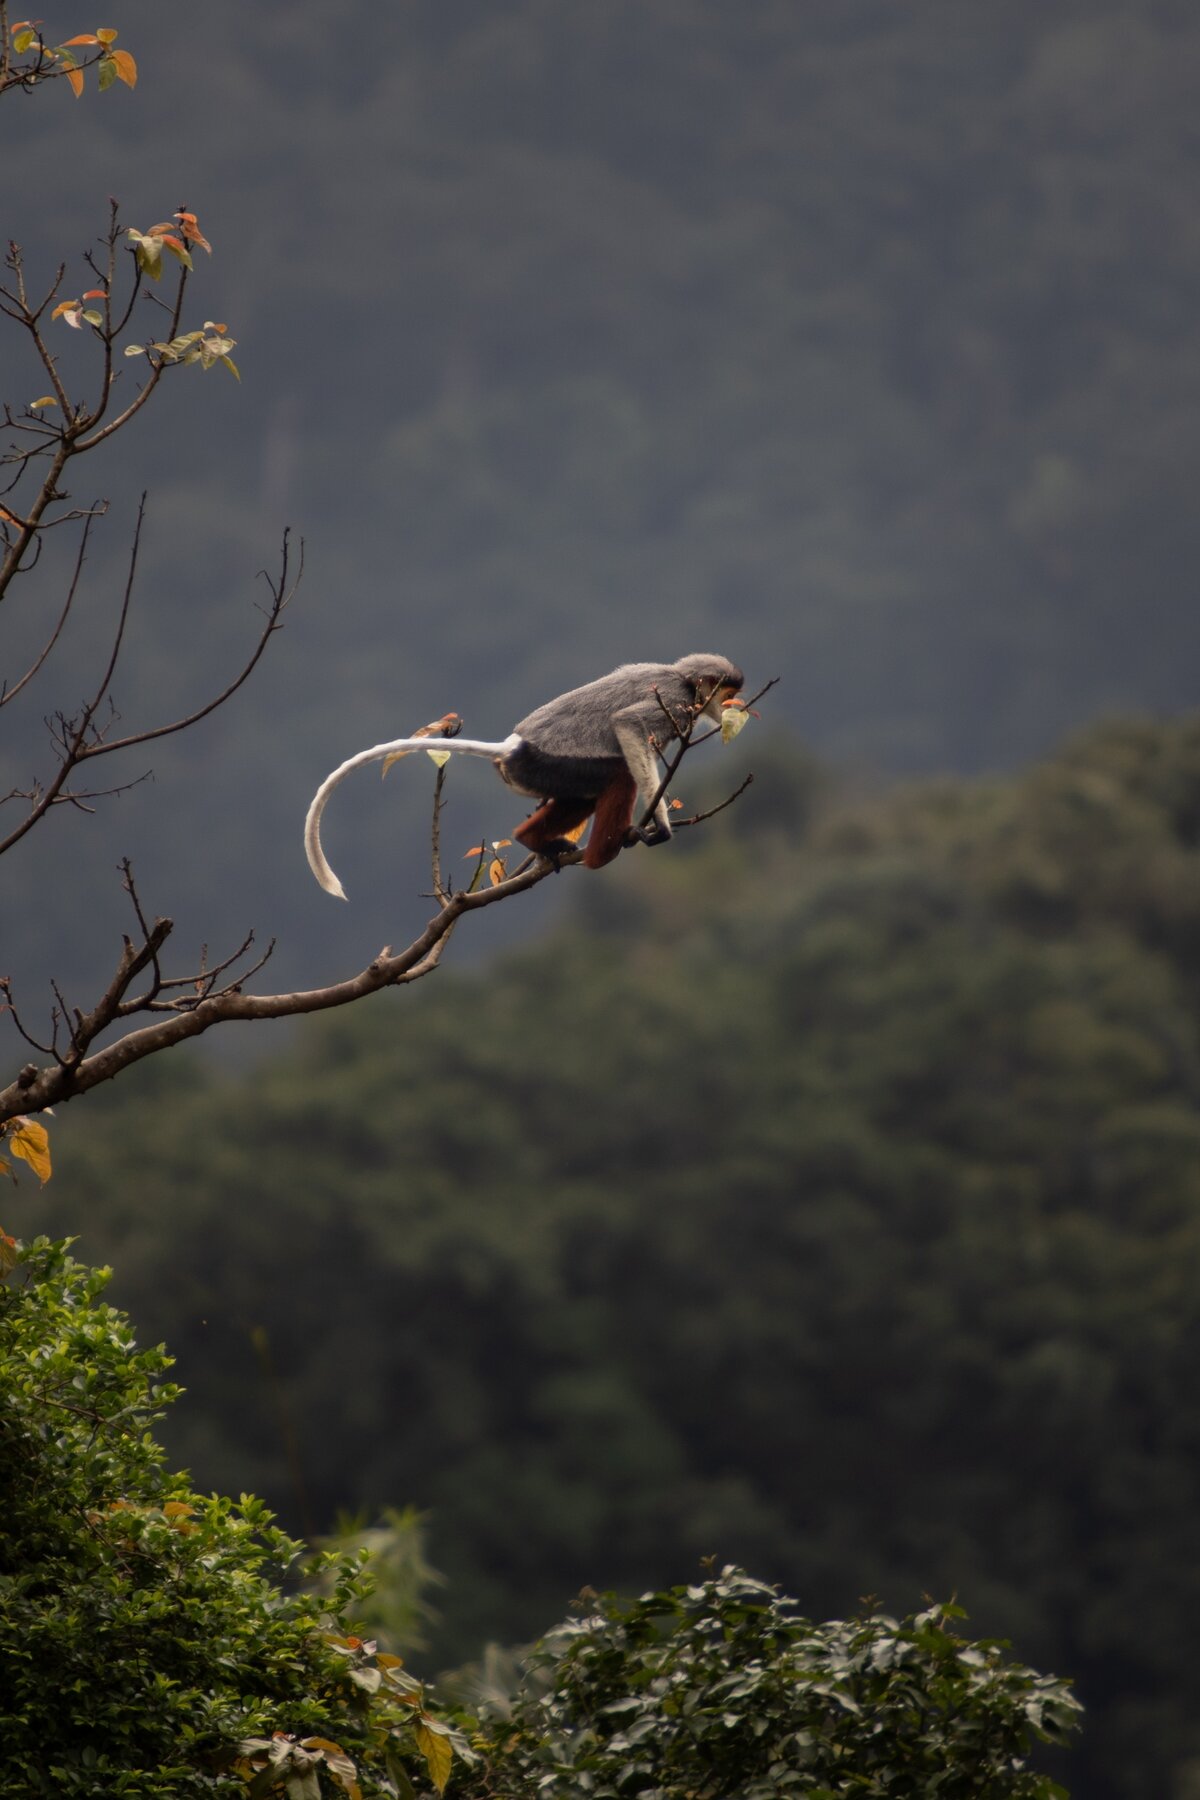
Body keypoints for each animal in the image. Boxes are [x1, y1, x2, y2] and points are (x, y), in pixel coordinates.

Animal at [305, 653, 745, 898]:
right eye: (726, 693)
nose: (733, 706)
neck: (683, 681)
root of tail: (514, 746)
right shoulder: (674, 702)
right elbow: (628, 727)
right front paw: (662, 826)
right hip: (551, 762)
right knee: (620, 774)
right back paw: (602, 854)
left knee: (585, 795)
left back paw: (533, 839)